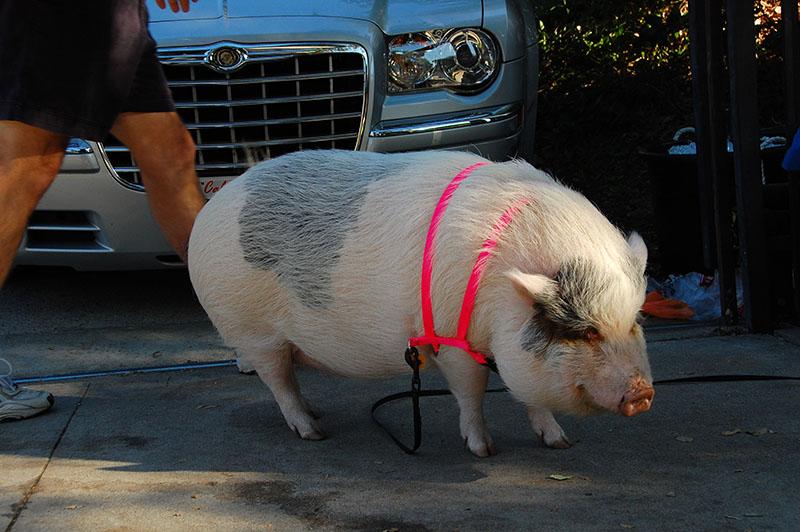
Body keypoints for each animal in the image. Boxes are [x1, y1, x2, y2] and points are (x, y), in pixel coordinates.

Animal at [191, 148, 652, 456]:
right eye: (586, 332)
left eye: (633, 321)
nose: (644, 392)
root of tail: (211, 209)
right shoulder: (453, 341)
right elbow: (473, 391)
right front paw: (483, 450)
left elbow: (531, 396)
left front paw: (561, 443)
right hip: (254, 332)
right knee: (278, 382)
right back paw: (313, 433)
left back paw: (317, 414)